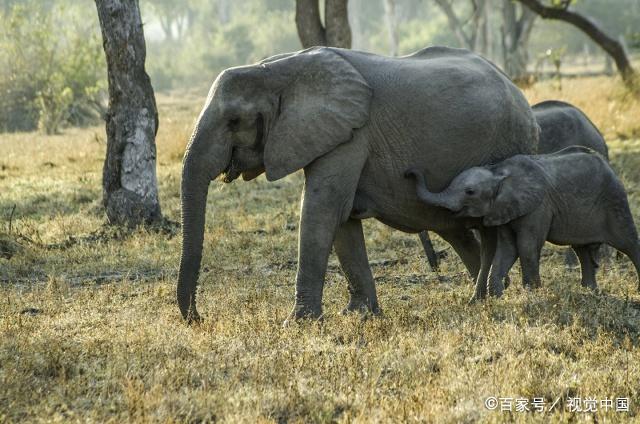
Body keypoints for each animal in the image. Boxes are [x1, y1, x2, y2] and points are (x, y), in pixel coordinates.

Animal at [178, 45, 536, 322]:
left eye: (234, 121)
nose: (199, 318)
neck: (276, 67)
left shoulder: (351, 134)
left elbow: (323, 210)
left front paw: (298, 324)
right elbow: (342, 220)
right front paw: (359, 315)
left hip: (509, 144)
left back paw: (490, 297)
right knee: (456, 231)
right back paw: (482, 298)